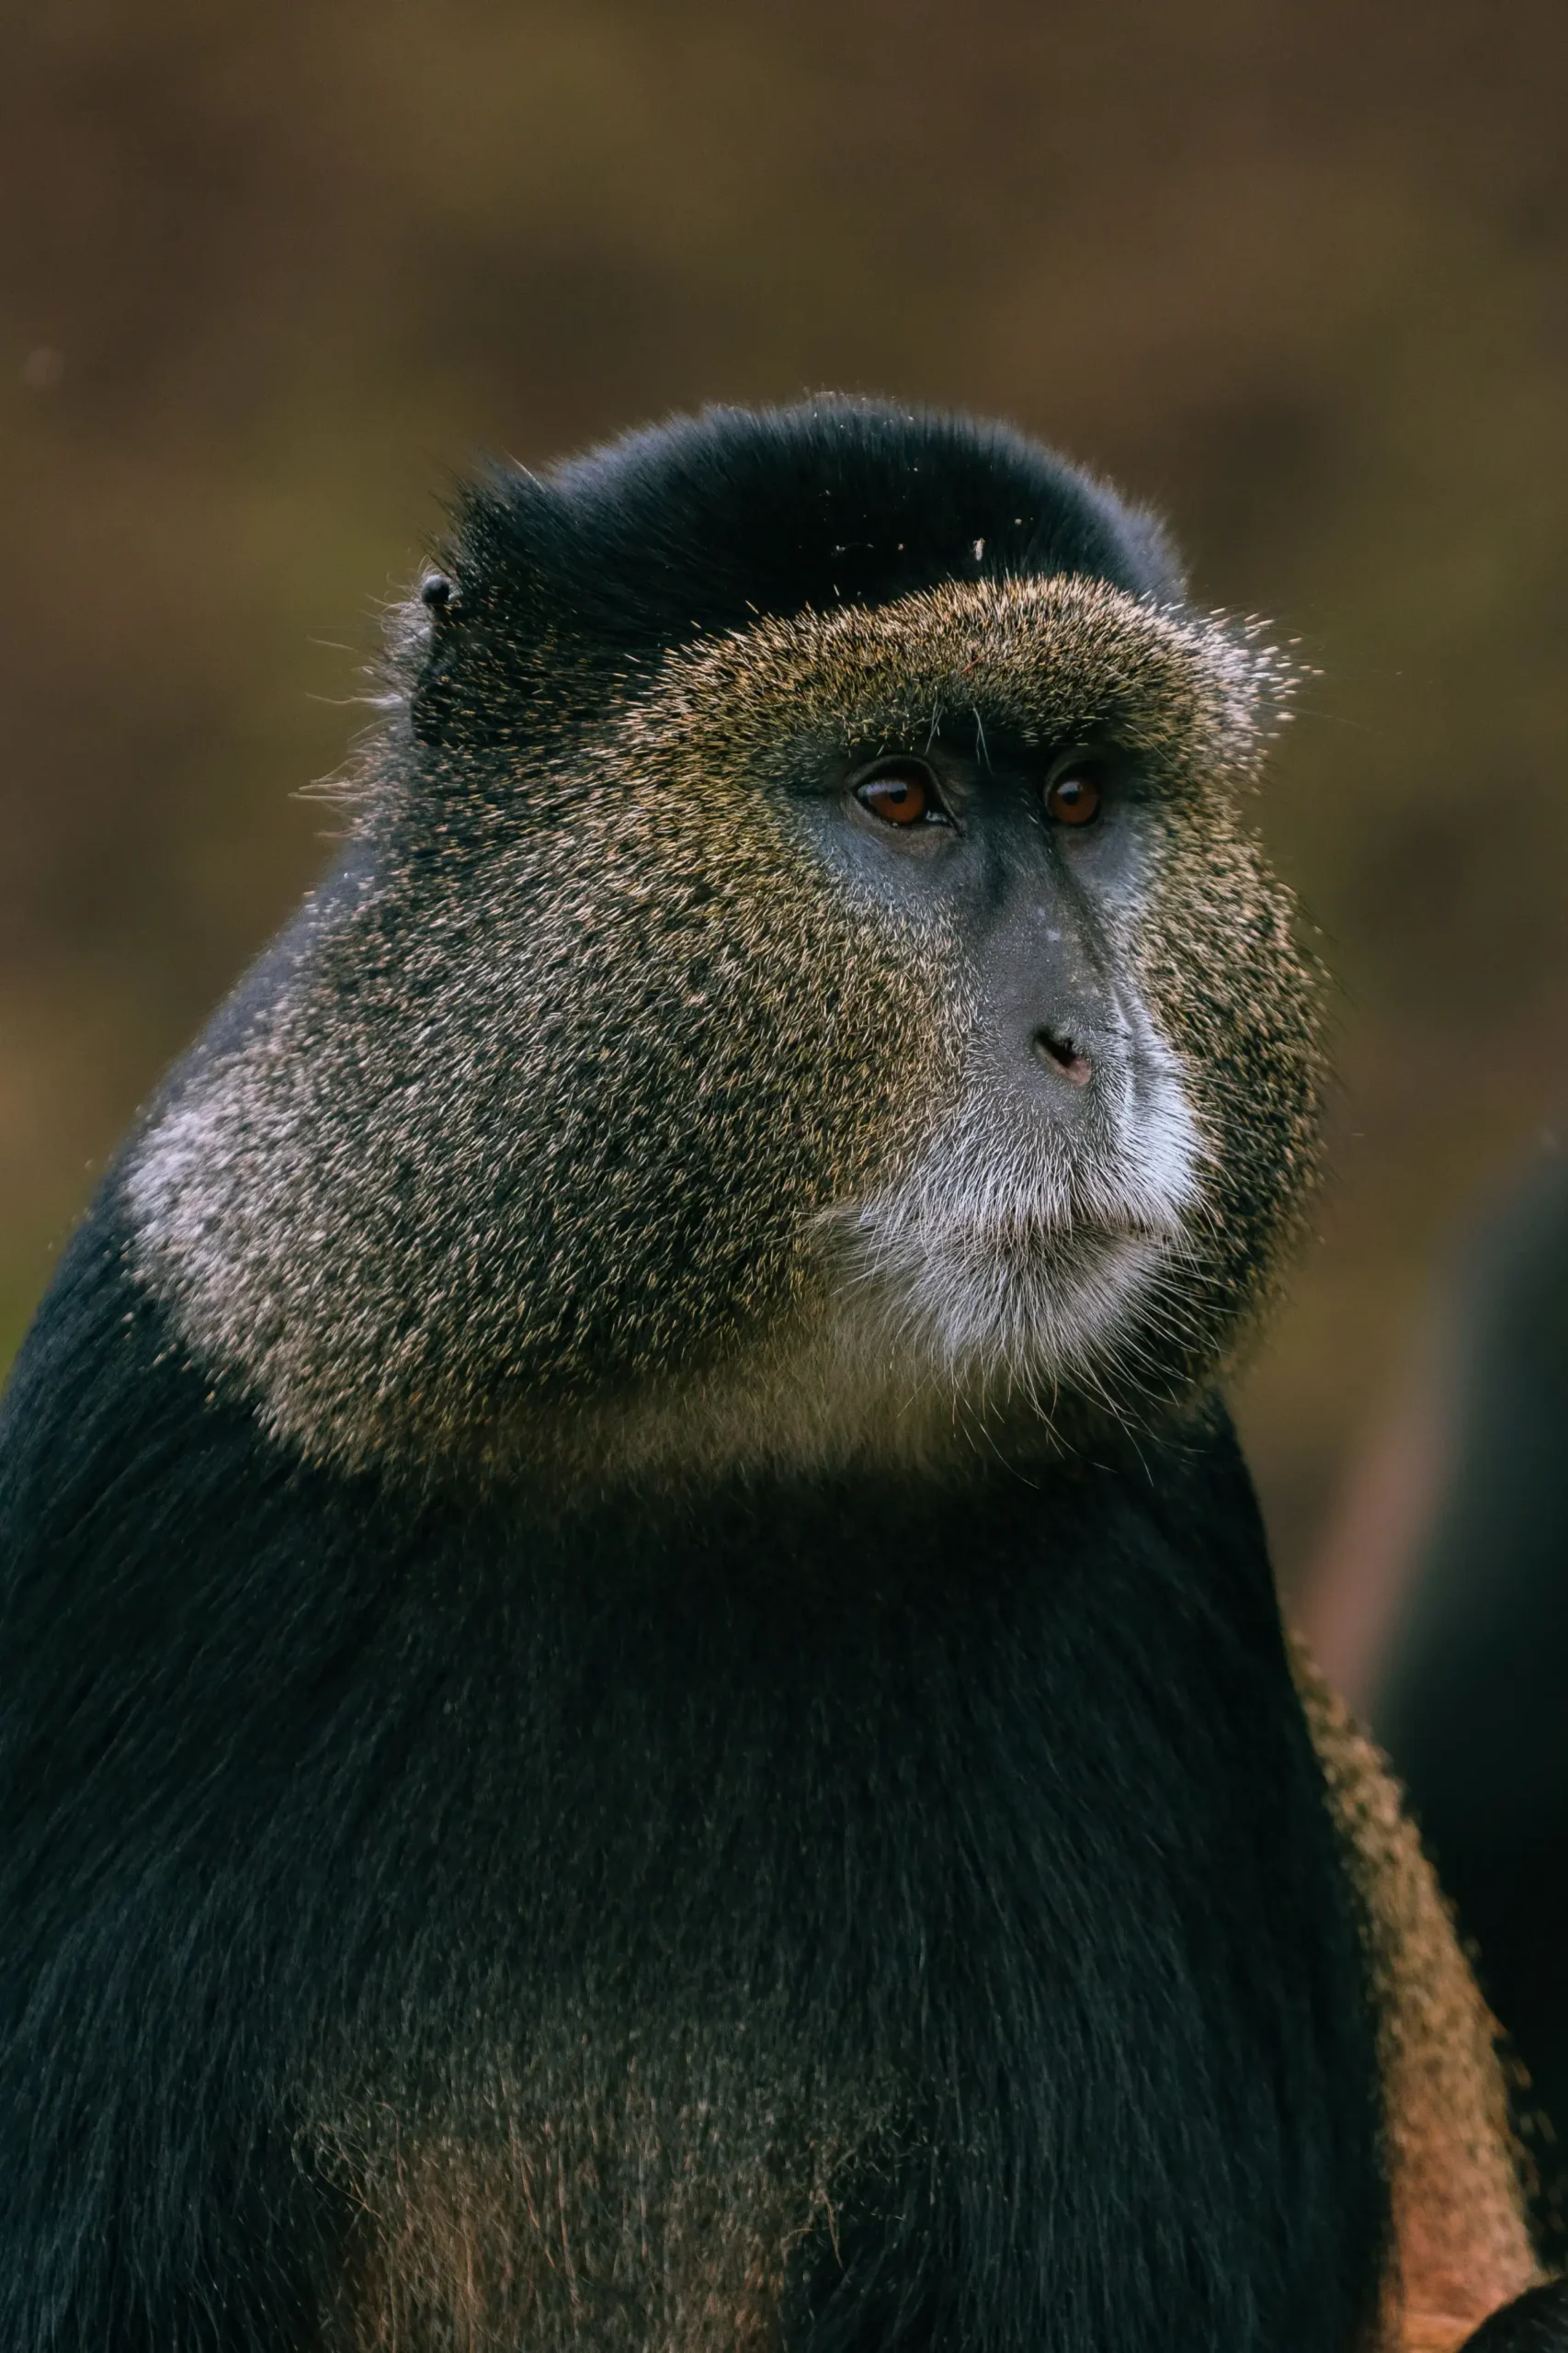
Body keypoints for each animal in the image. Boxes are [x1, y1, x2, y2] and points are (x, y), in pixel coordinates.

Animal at [0, 394, 1556, 2352]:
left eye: (1077, 798)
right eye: (897, 796)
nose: (1103, 1044)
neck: (706, 1435)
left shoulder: (1167, 1588)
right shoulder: (140, 1481)